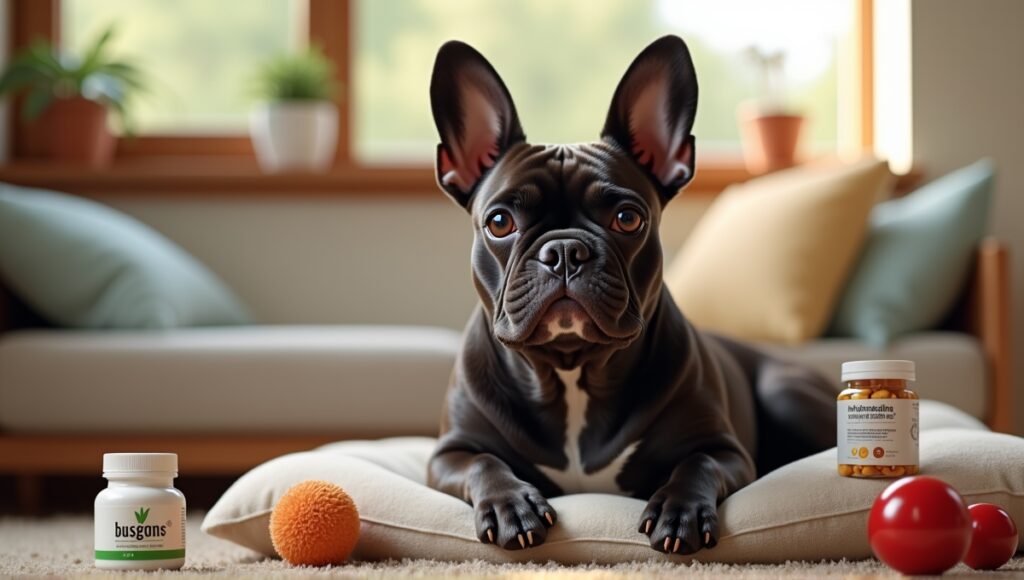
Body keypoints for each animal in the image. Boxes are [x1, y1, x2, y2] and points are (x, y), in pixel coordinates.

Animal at [428, 35, 835, 553]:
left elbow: (697, 463)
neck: (572, 367)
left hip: (784, 391)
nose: (565, 250)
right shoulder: (448, 454)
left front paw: (679, 512)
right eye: (500, 222)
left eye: (627, 219)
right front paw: (510, 505)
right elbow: (484, 462)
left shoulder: (725, 450)